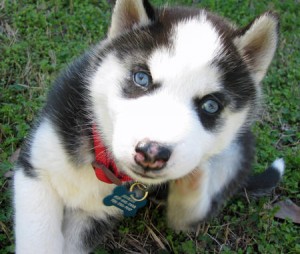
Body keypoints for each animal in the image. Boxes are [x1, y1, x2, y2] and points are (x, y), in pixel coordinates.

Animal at [13, 0, 284, 253]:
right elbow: (39, 240)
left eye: (210, 105)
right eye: (141, 78)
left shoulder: (94, 216)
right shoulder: (37, 170)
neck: (104, 165)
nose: (152, 153)